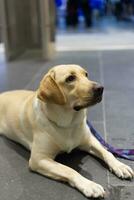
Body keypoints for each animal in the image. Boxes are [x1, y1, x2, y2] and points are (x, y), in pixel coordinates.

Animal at [0, 65, 133, 198]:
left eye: (86, 75)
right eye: (70, 78)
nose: (100, 88)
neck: (68, 124)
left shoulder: (90, 140)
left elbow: (107, 152)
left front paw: (120, 166)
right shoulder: (38, 159)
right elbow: (69, 170)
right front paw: (89, 185)